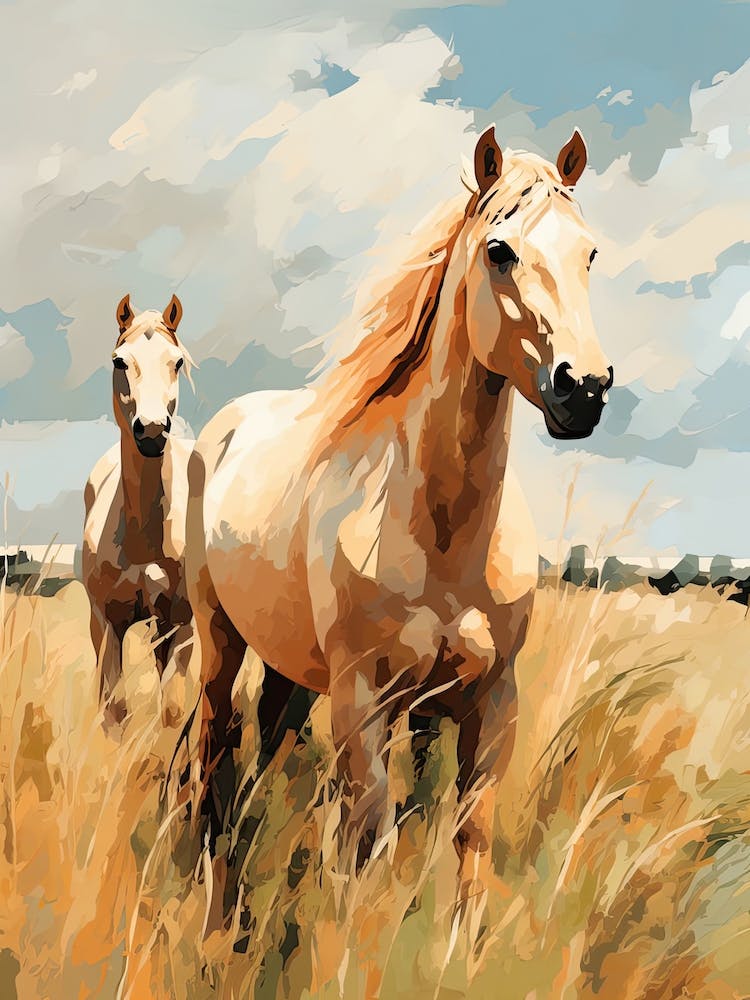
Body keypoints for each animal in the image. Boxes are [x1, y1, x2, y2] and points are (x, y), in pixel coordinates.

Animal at [83, 294, 195, 730]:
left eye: (176, 361)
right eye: (119, 361)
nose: (151, 431)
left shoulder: (182, 623)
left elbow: (173, 710)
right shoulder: (106, 626)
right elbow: (114, 710)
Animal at [185, 126, 613, 915]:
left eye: (590, 252)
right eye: (499, 250)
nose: (585, 389)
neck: (441, 534)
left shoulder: (488, 702)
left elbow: (466, 840)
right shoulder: (364, 703)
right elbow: (371, 841)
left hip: (290, 666)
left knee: (265, 744)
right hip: (219, 638)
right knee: (214, 745)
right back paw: (210, 872)